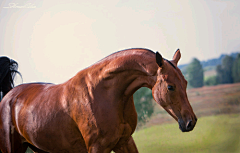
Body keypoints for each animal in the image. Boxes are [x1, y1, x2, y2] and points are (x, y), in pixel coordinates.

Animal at [0, 48, 197, 152]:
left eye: (186, 82)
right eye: (170, 86)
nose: (191, 122)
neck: (106, 94)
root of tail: (8, 96)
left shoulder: (124, 141)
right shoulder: (97, 147)